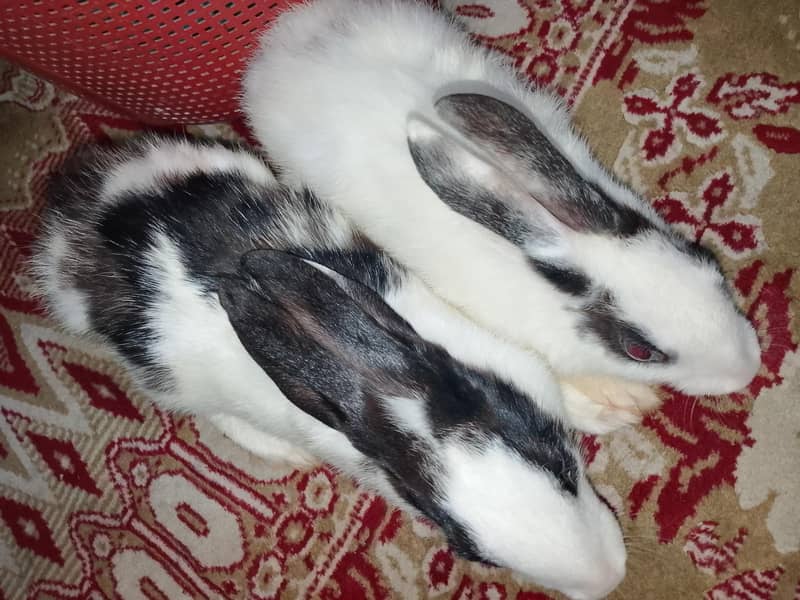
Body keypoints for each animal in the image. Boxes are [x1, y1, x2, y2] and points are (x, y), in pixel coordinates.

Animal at [31, 137, 626, 600]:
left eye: (558, 461)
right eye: (474, 554)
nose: (612, 578)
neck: (392, 396)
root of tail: (70, 239)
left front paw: (610, 412)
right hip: (172, 381)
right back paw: (284, 452)